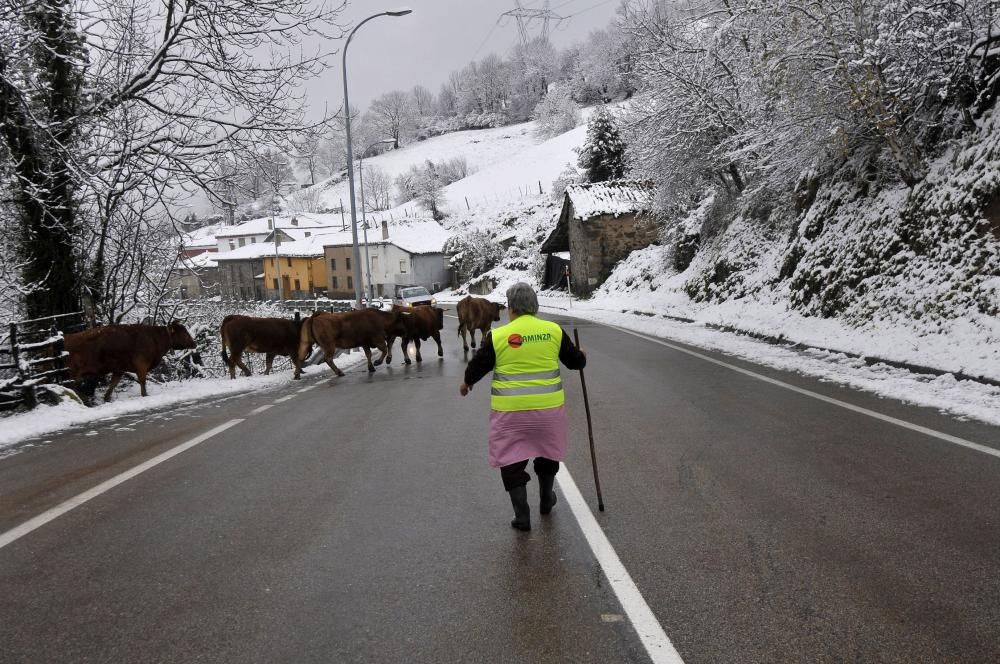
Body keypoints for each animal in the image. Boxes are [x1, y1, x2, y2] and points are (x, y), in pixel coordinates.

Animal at [65, 320, 198, 402]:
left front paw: (106, 398)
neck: (155, 338)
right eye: (184, 333)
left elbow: (113, 384)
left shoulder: (119, 369)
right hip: (73, 374)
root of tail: (67, 337)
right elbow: (142, 381)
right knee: (71, 388)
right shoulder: (141, 365)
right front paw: (145, 395)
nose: (194, 343)